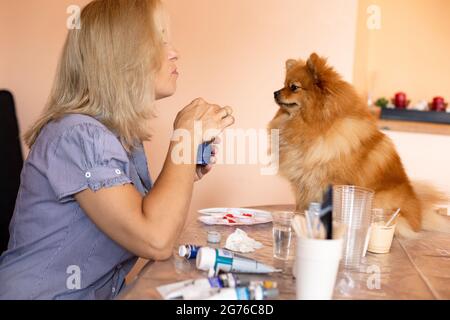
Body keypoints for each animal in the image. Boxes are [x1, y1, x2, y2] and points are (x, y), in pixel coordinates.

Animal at [268, 53, 448, 238]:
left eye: (293, 87)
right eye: (283, 84)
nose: (275, 92)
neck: (316, 127)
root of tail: (420, 214)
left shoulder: (331, 182)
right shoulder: (304, 182)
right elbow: (301, 206)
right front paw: (298, 220)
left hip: (380, 200)